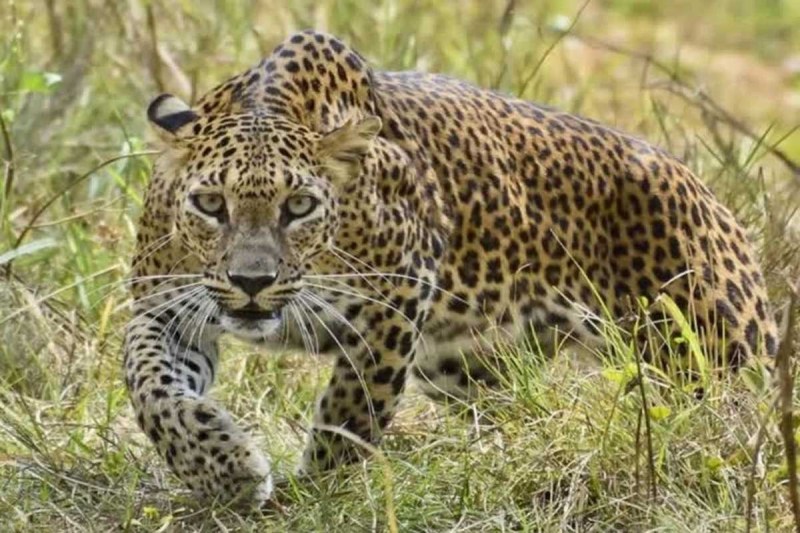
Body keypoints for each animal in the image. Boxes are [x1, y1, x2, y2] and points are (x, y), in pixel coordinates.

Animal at [124, 29, 778, 505]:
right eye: (211, 204)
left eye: (300, 206)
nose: (252, 283)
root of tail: (708, 191)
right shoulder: (164, 307)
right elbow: (152, 388)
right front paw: (225, 469)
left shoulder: (394, 303)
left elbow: (351, 412)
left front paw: (314, 493)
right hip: (465, 365)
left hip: (715, 356)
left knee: (744, 423)